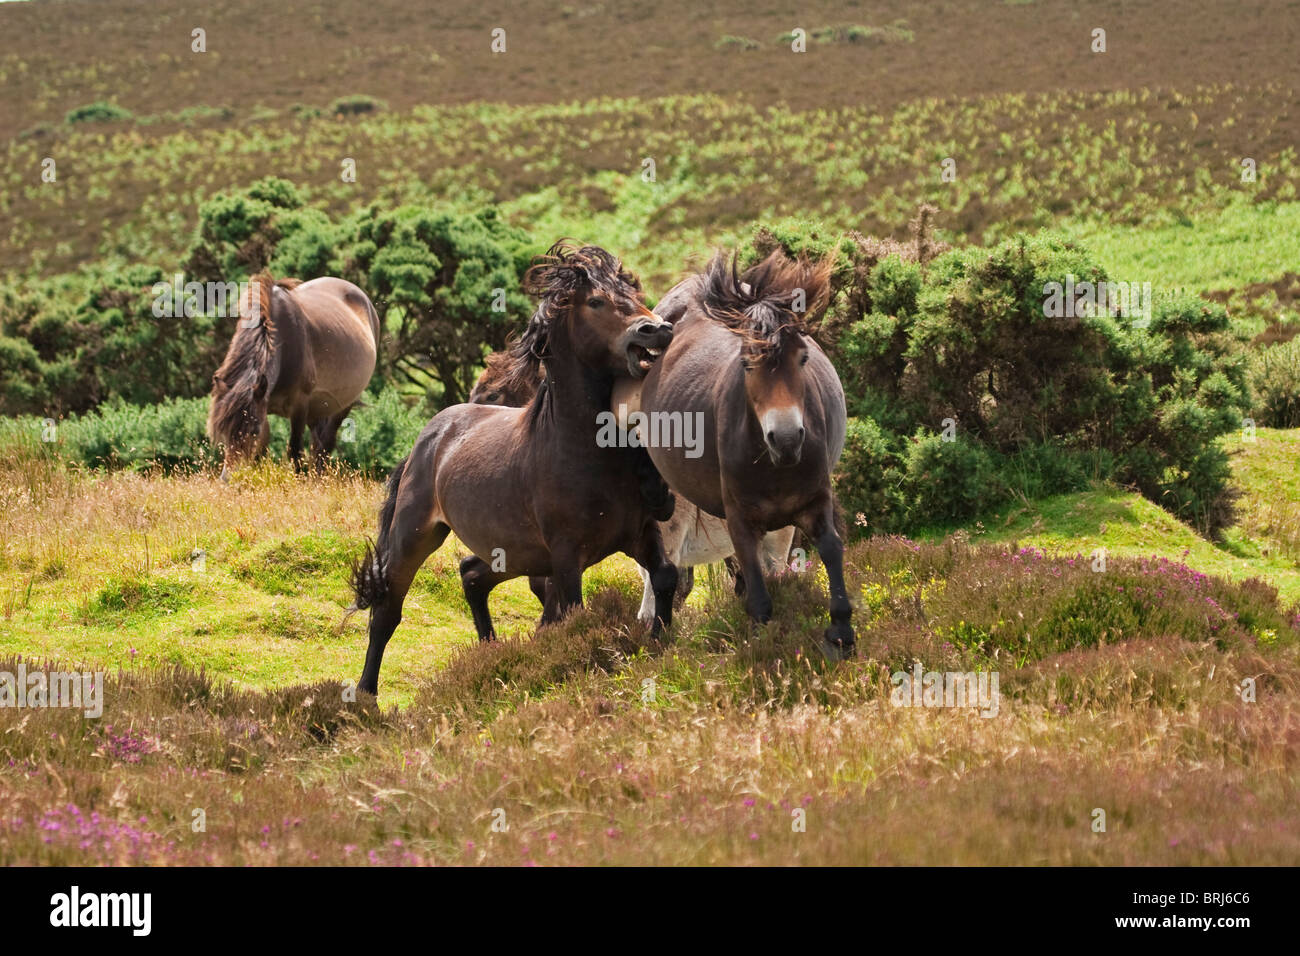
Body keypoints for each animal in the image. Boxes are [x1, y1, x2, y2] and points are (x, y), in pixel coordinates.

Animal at [207, 274, 379, 475]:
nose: (229, 477)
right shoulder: (263, 405)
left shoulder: (299, 405)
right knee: (317, 447)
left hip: (343, 405)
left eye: (253, 431)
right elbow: (261, 453)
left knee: (325, 447)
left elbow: (295, 452)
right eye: (222, 430)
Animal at [349, 242, 678, 697]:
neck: (584, 452)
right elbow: (574, 615)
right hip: (414, 536)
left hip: (514, 552)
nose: (657, 329)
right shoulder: (566, 554)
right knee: (387, 612)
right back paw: (366, 694)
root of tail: (429, 436)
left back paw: (489, 654)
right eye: (596, 301)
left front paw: (660, 644)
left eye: (633, 290)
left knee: (471, 575)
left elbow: (664, 577)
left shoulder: (639, 533)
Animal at [636, 250, 856, 658]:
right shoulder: (738, 518)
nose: (786, 438)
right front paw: (765, 644)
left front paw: (841, 634)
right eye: (746, 363)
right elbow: (754, 584)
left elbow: (830, 549)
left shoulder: (815, 500)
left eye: (803, 359)